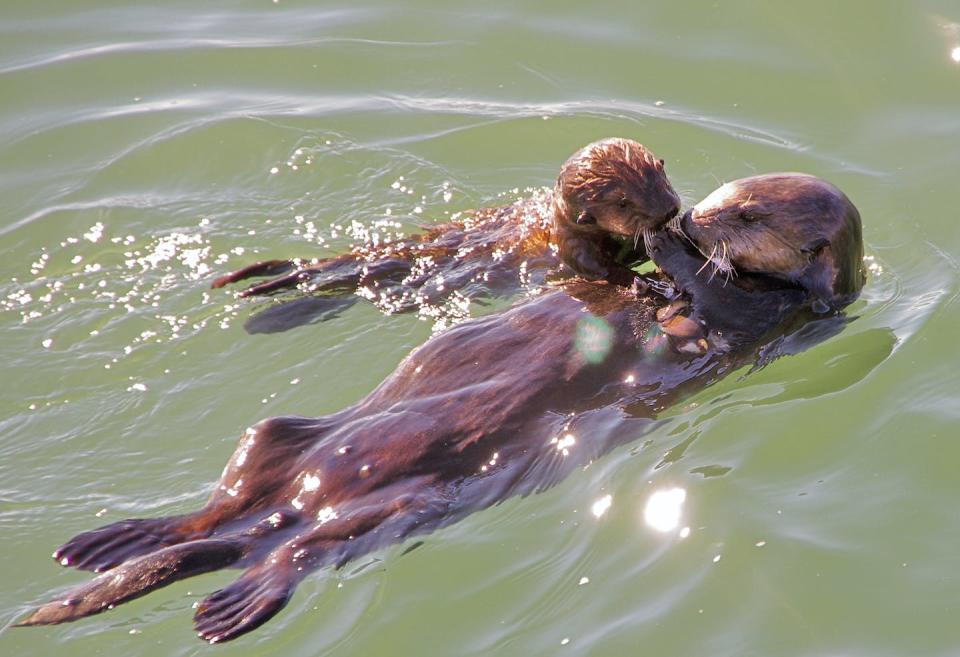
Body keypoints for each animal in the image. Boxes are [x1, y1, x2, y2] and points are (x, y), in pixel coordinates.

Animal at [20, 170, 864, 640]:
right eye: (725, 197)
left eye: (748, 216)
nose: (689, 215)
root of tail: (289, 509)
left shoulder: (766, 315)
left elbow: (707, 296)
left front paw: (666, 245)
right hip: (279, 439)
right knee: (219, 504)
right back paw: (111, 541)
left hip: (407, 506)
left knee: (299, 552)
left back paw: (229, 605)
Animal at [213, 138, 680, 318]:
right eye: (623, 203)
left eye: (660, 170)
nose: (669, 209)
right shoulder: (571, 248)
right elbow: (598, 270)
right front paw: (647, 285)